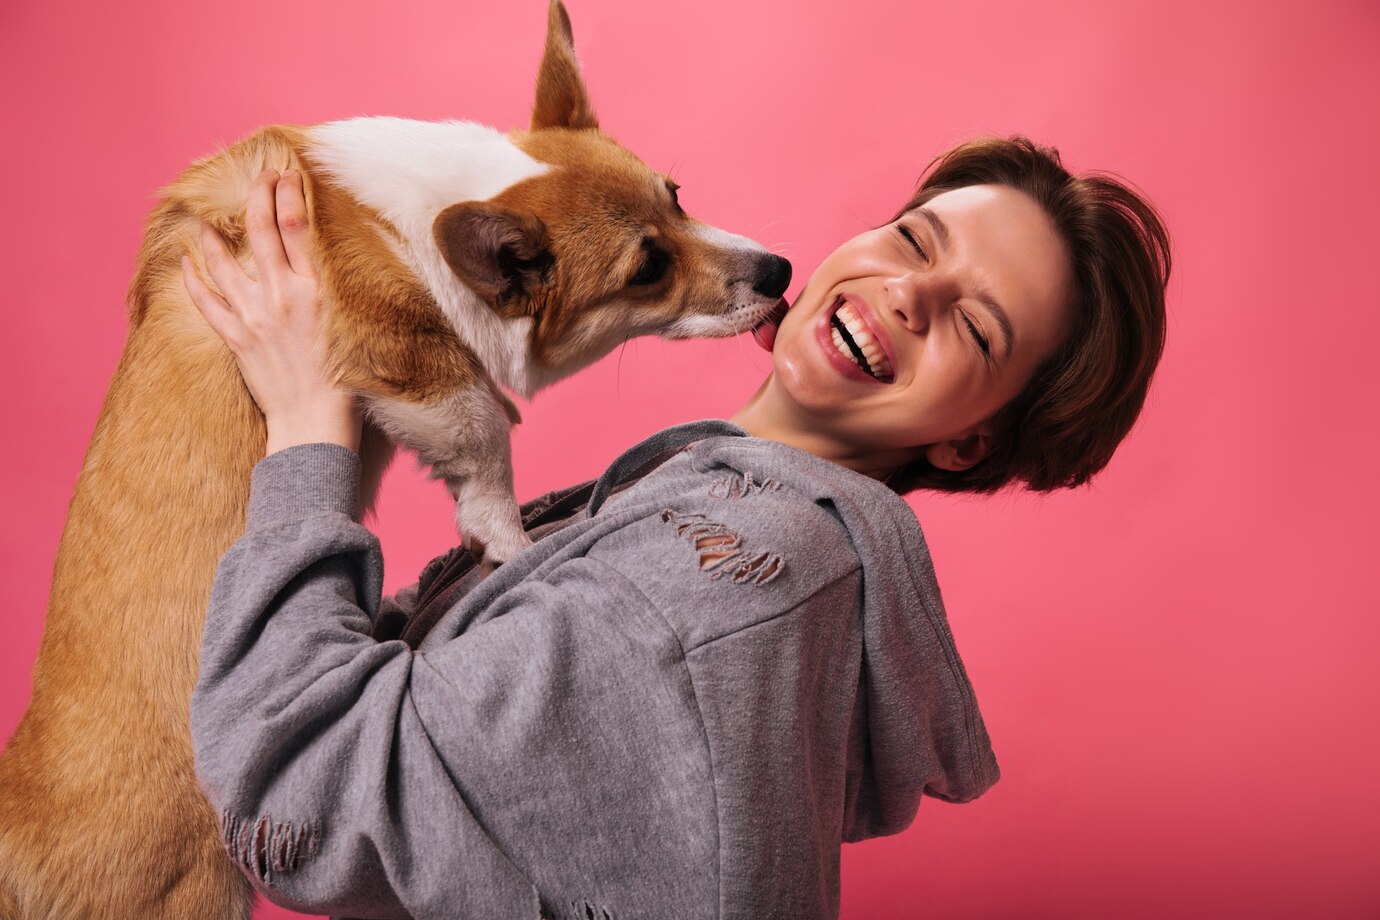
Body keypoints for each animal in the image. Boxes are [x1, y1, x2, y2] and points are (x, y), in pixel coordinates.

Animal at [0, 3, 794, 915]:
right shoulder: (405, 358)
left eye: (678, 197)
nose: (781, 270)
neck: (419, 216)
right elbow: (484, 430)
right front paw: (508, 539)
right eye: (648, 267)